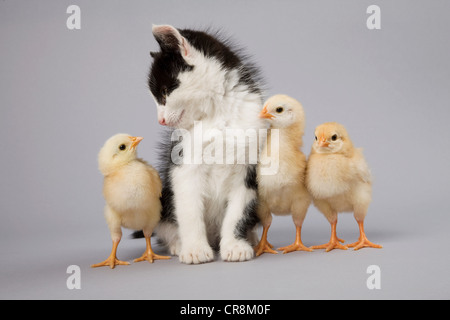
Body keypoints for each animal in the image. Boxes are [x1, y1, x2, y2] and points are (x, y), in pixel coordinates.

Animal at [148, 25, 268, 264]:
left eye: (165, 93)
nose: (161, 120)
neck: (216, 112)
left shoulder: (249, 167)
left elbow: (238, 211)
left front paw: (234, 245)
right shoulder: (183, 165)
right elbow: (189, 209)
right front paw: (194, 248)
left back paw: (250, 237)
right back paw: (177, 243)